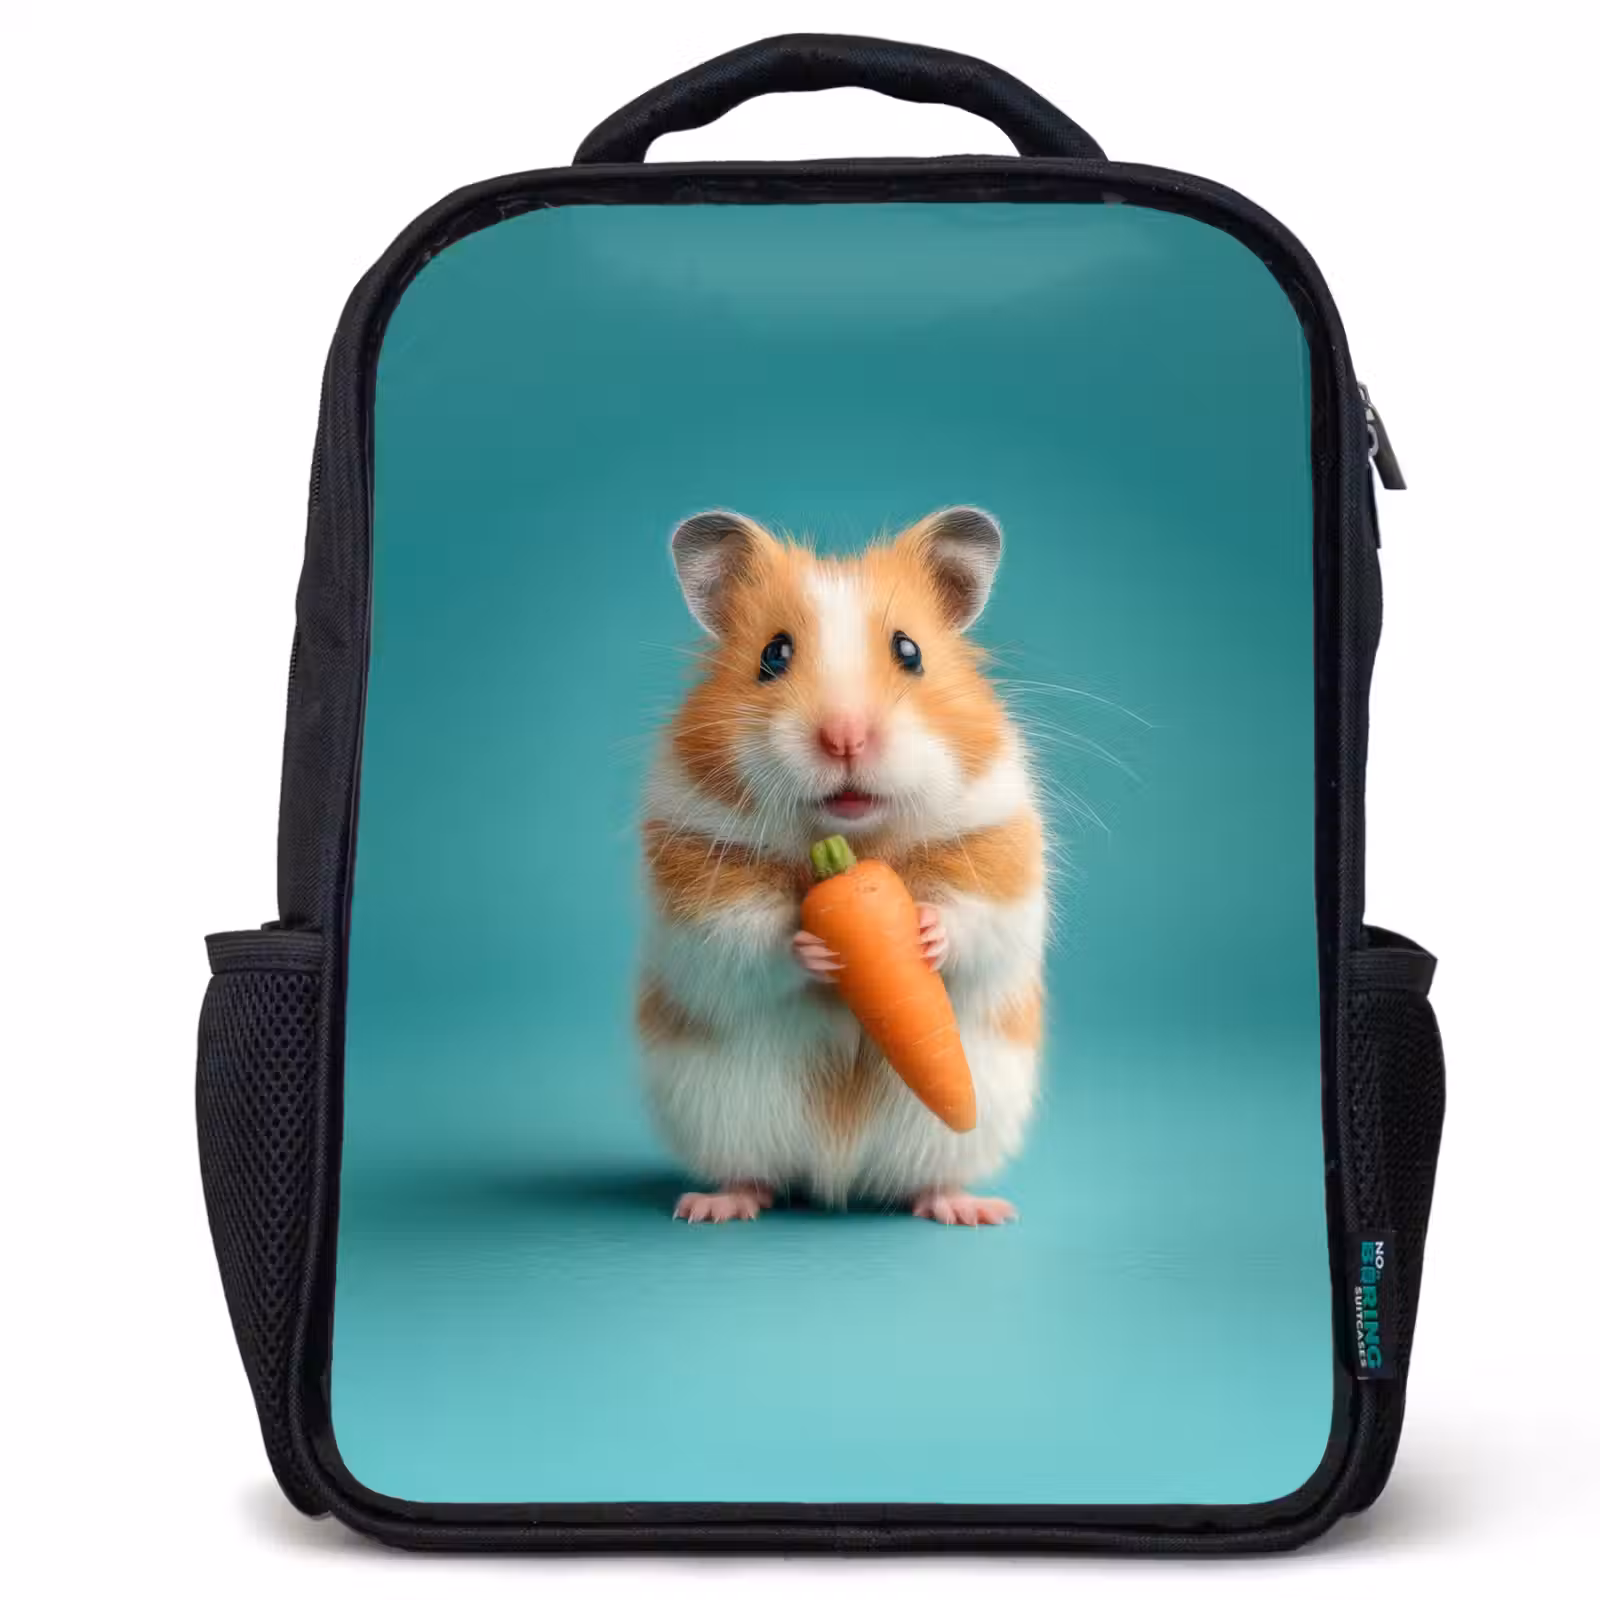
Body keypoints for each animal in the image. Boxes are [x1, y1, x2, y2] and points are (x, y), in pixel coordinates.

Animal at [638, 507, 1048, 1225]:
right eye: (773, 655)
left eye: (909, 651)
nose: (844, 737)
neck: (848, 849)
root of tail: (836, 1178)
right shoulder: (696, 869)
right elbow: (746, 935)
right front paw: (816, 949)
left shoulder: (1000, 848)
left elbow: (977, 918)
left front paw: (924, 932)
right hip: (717, 1110)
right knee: (751, 1171)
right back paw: (714, 1206)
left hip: (962, 1122)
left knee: (932, 1173)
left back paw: (972, 1209)